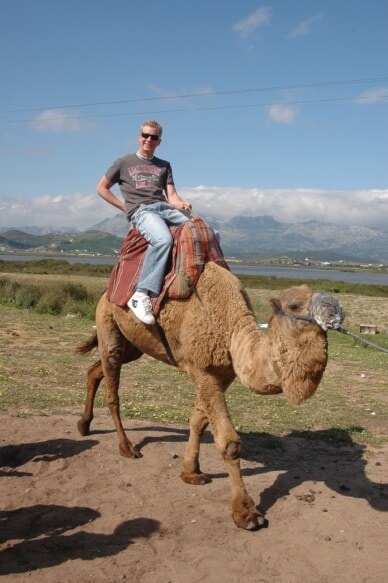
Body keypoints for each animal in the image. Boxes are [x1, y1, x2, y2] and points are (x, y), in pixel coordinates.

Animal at [75, 262, 340, 532]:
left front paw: (190, 472)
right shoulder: (202, 369)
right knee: (112, 390)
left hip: (134, 345)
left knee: (94, 371)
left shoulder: (222, 375)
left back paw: (84, 425)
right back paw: (126, 447)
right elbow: (229, 442)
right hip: (109, 326)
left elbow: (198, 422)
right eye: (295, 305)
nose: (334, 313)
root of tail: (105, 293)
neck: (233, 330)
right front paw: (246, 513)